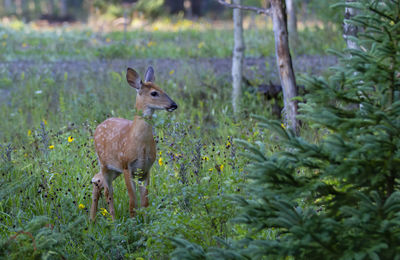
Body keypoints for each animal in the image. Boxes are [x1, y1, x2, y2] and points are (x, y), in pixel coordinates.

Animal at [90, 66, 178, 220]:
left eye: (162, 89)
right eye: (154, 93)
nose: (174, 105)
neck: (140, 145)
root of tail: (99, 125)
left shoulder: (146, 168)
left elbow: (144, 202)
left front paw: (145, 222)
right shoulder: (126, 165)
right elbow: (132, 201)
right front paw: (133, 221)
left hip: (114, 169)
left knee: (97, 180)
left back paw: (91, 220)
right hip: (105, 163)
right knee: (108, 191)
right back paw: (112, 220)